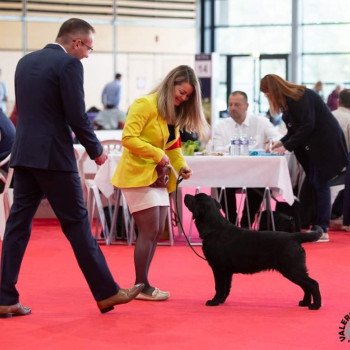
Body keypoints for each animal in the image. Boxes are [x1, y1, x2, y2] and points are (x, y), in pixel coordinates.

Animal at [183, 193, 322, 310]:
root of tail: (294, 236)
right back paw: (305, 303)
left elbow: (219, 287)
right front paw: (221, 301)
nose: (186, 195)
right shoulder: (227, 271)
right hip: (294, 269)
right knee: (306, 286)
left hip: (292, 269)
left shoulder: (219, 267)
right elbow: (226, 288)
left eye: (195, 198)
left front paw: (214, 302)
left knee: (313, 284)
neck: (214, 228)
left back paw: (315, 305)